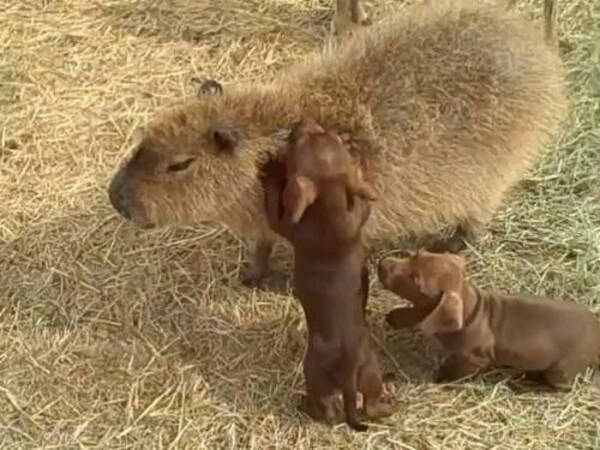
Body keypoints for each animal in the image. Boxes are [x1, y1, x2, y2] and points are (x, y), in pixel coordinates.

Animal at [264, 119, 392, 432]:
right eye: (330, 135)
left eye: (297, 144)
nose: (301, 122)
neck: (329, 208)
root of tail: (347, 371)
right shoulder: (358, 210)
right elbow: (363, 197)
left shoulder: (284, 223)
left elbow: (273, 204)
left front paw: (270, 169)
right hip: (370, 373)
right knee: (369, 407)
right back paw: (391, 403)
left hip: (314, 376)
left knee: (328, 410)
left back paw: (304, 405)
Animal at [380, 251, 600, 388]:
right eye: (416, 255)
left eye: (416, 280)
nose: (381, 263)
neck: (470, 310)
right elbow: (418, 313)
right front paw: (397, 317)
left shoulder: (473, 359)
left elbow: (457, 371)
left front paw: (442, 378)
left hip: (562, 371)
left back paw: (532, 378)